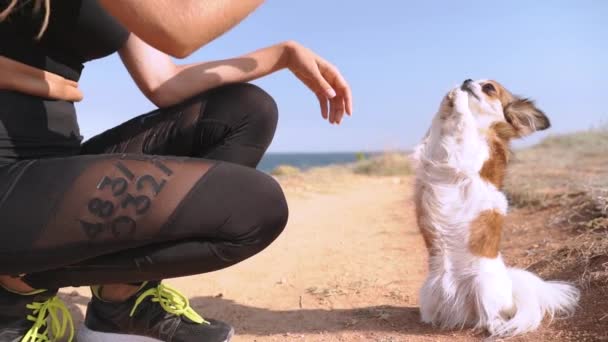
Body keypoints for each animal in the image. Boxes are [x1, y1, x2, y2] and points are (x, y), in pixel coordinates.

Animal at [414, 79, 580, 336]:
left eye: (489, 88)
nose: (466, 80)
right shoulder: (431, 153)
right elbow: (438, 126)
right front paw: (449, 99)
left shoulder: (467, 155)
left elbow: (463, 124)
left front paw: (459, 102)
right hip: (428, 292)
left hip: (484, 286)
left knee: (493, 317)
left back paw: (498, 327)